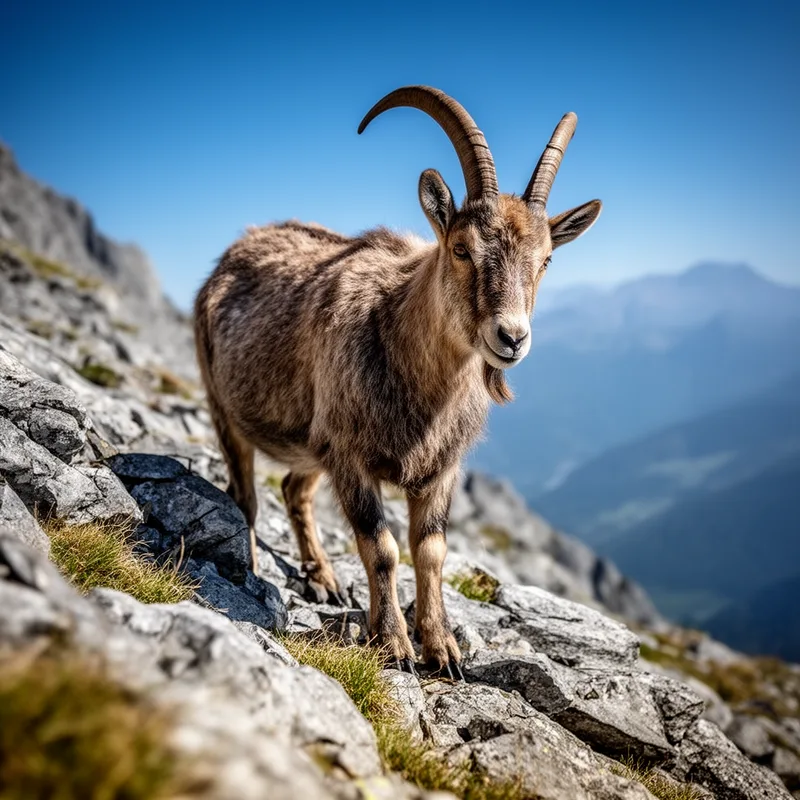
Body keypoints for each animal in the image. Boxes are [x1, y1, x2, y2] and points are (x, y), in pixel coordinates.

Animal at [194, 86, 601, 675]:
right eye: (462, 248)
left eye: (546, 259)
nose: (511, 338)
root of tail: (232, 254)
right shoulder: (350, 456)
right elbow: (382, 547)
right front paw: (393, 643)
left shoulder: (440, 468)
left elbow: (430, 550)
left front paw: (444, 649)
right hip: (226, 407)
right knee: (244, 497)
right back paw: (250, 568)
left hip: (311, 444)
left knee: (293, 488)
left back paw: (324, 581)